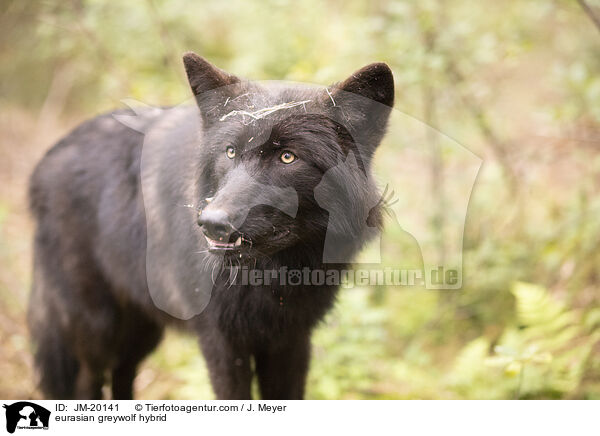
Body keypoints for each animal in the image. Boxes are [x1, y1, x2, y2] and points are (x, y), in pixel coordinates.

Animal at [27, 52, 394, 398]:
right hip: (99, 328)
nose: (212, 223)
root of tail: (46, 161)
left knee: (123, 374)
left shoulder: (291, 341)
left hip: (143, 330)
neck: (270, 278)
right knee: (88, 381)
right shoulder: (221, 342)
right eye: (230, 152)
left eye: (288, 157)